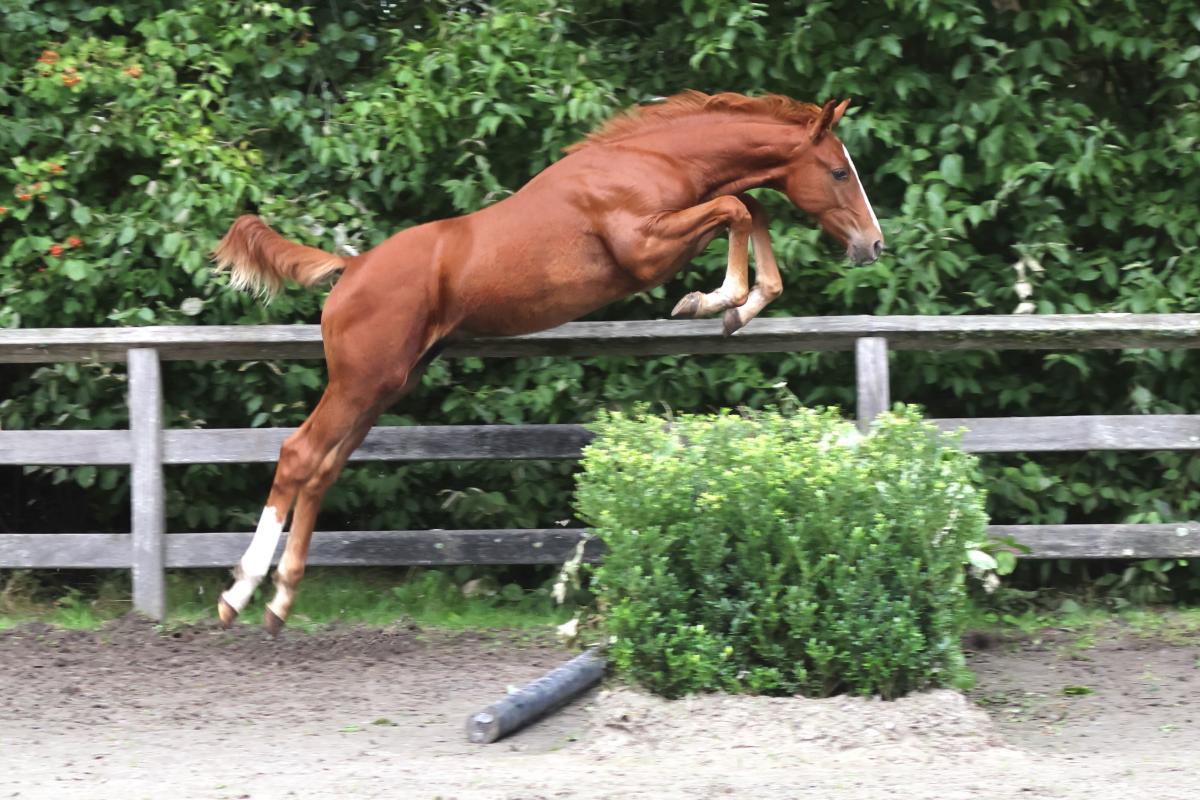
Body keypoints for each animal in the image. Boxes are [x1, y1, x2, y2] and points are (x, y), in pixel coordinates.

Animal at [211, 90, 884, 634]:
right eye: (837, 170)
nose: (872, 244)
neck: (651, 162)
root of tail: (350, 270)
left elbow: (749, 207)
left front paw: (741, 307)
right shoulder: (645, 248)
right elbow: (739, 209)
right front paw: (715, 301)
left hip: (382, 388)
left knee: (322, 470)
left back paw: (281, 602)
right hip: (358, 383)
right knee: (299, 456)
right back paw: (239, 594)